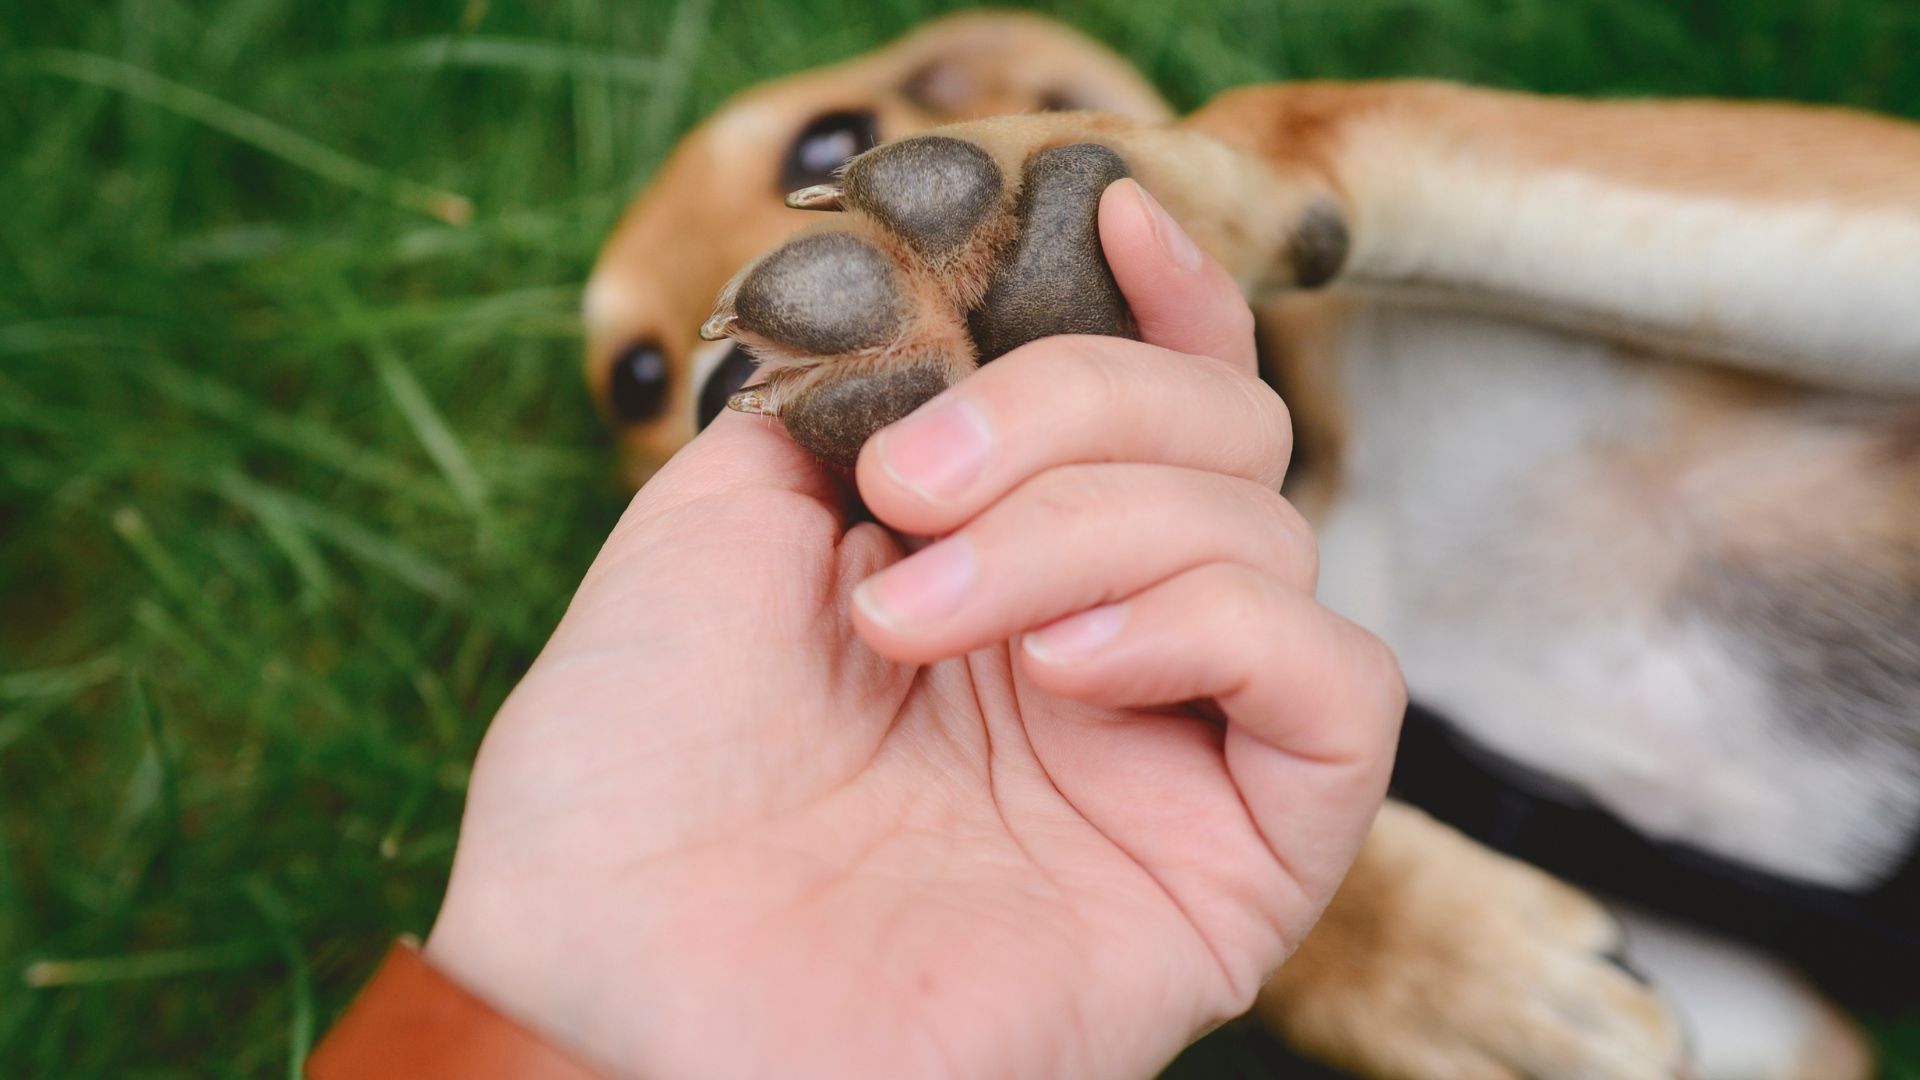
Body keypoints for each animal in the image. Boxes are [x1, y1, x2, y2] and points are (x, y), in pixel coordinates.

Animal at [576, 10, 1912, 1076]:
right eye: (631, 379)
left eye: (819, 143)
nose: (712, 393)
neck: (1318, 475)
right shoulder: (1781, 1030)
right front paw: (1461, 977)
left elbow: (1299, 126)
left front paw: (1006, 232)